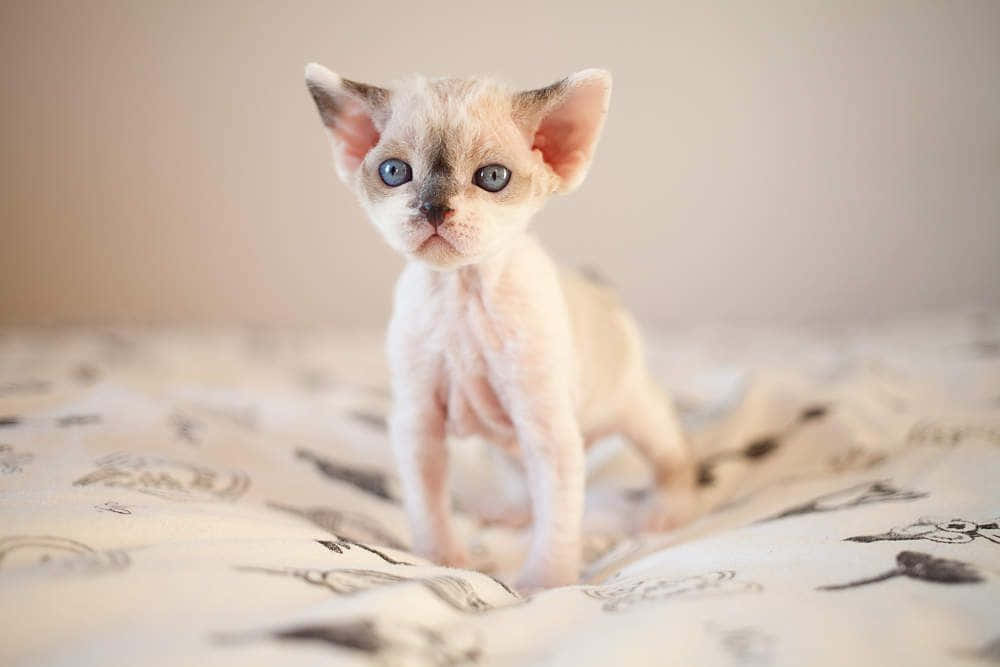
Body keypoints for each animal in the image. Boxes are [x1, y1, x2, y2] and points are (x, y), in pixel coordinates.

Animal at [304, 65, 696, 592]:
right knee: (518, 473)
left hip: (635, 408)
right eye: (394, 172)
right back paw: (511, 511)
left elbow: (558, 517)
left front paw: (544, 584)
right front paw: (444, 563)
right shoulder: (417, 422)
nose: (433, 208)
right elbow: (428, 505)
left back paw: (668, 512)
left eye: (492, 177)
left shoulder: (547, 425)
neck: (463, 292)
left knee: (673, 454)